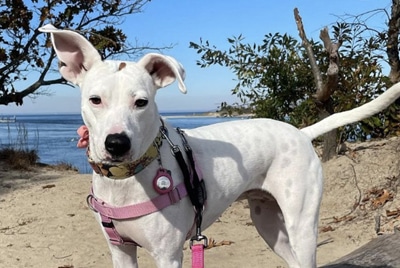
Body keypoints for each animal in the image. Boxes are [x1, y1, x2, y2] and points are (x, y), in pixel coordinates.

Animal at [39, 24, 400, 266]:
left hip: (302, 223)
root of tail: (300, 132)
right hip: (269, 224)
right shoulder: (121, 251)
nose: (116, 144)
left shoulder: (168, 254)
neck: (129, 179)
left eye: (141, 102)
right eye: (95, 99)